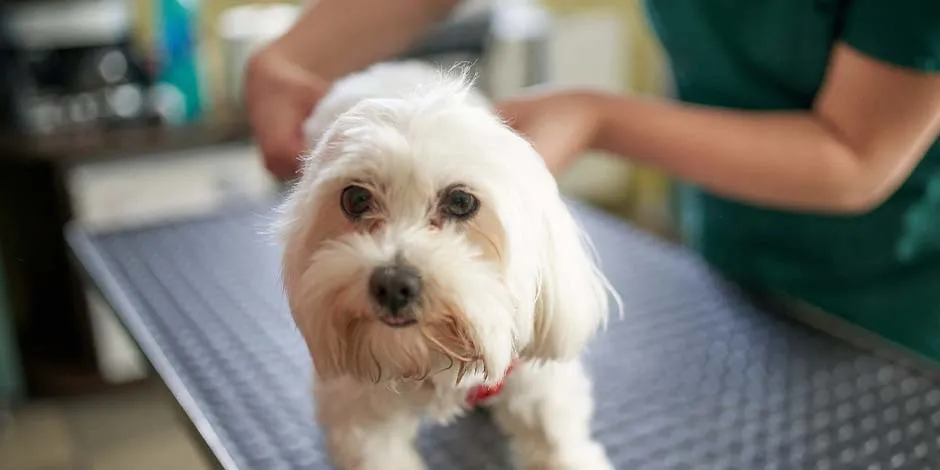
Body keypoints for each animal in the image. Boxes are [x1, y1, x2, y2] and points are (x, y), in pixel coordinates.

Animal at [276, 62, 620, 470]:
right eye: (356, 198)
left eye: (460, 201)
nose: (392, 284)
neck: (433, 358)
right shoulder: (359, 410)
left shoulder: (537, 383)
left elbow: (558, 440)